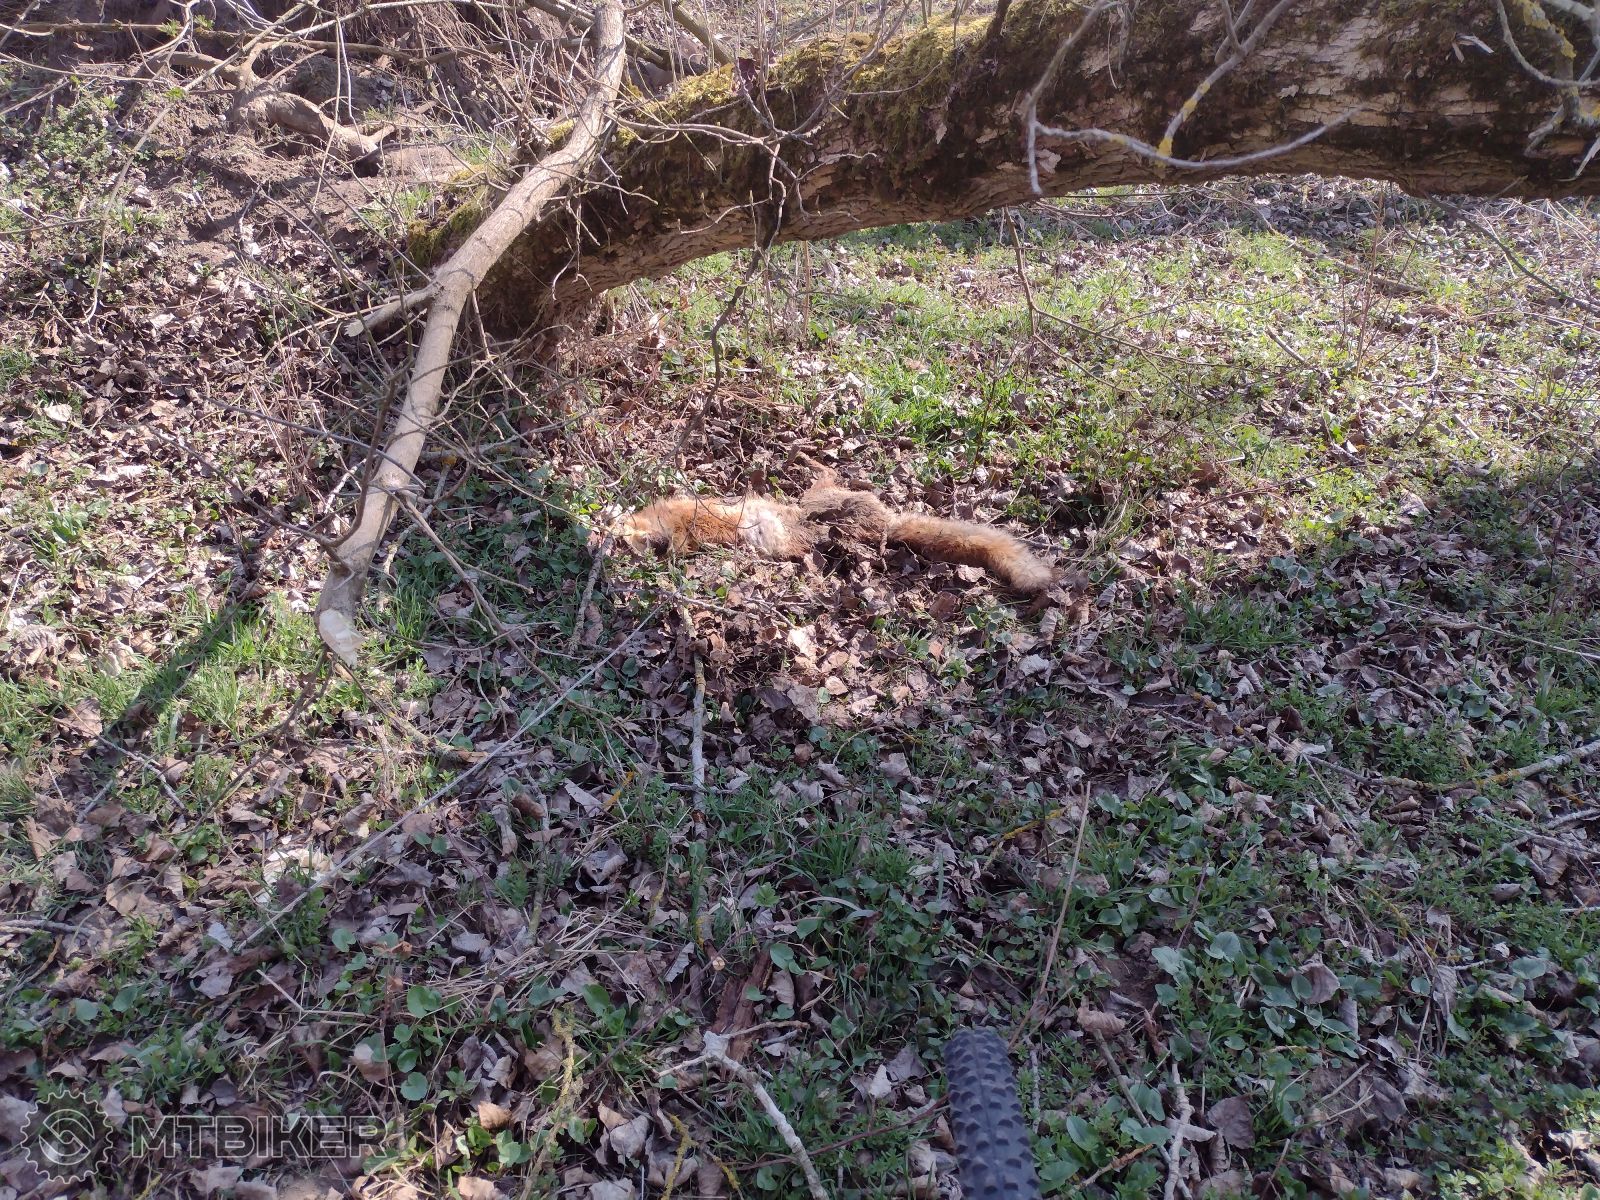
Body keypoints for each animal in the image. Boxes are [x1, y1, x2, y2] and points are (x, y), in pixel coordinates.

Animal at [618, 468, 1055, 594]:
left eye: (619, 537)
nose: (619, 549)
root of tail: (887, 519)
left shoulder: (683, 520)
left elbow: (679, 540)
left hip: (828, 505)